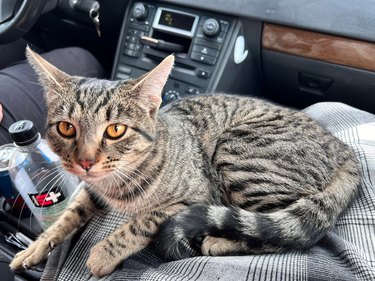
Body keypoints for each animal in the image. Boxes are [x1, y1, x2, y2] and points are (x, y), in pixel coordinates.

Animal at [9, 47, 362, 276]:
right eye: (66, 128)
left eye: (115, 130)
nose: (85, 163)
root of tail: (344, 149)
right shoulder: (90, 189)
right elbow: (68, 215)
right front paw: (36, 247)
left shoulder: (196, 194)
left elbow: (143, 221)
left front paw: (104, 254)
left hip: (238, 154)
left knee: (293, 234)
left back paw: (220, 241)